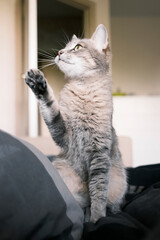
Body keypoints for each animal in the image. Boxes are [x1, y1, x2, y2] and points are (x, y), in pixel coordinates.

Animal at [25, 24, 127, 223]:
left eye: (77, 47)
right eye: (64, 47)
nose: (58, 52)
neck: (83, 90)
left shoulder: (99, 153)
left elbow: (98, 191)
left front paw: (97, 219)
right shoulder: (63, 135)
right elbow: (50, 108)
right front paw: (39, 85)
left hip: (118, 181)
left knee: (110, 201)